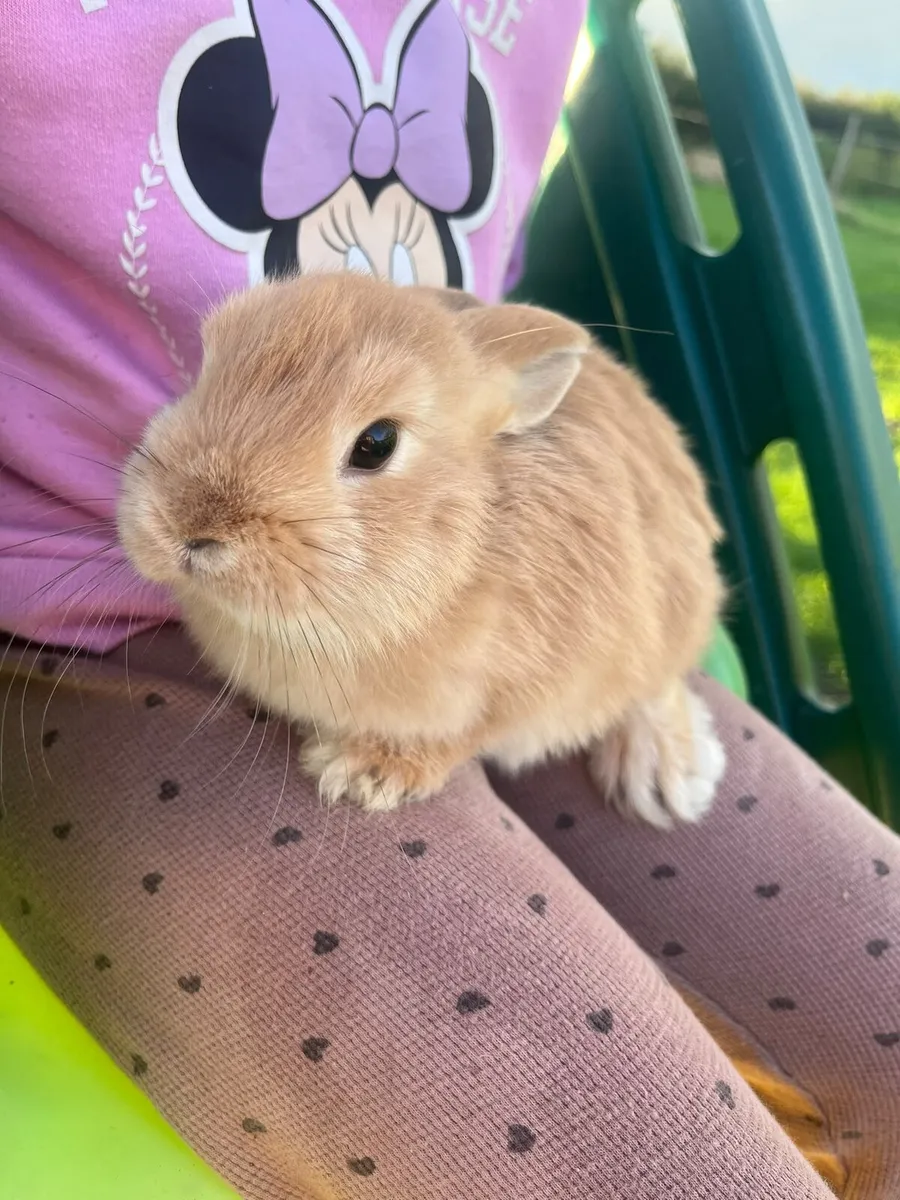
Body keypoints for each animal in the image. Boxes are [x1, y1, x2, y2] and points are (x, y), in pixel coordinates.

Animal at [118, 272, 726, 828]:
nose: (186, 528)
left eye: (377, 444)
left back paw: (669, 774)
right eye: (204, 373)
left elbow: (471, 733)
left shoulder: (537, 686)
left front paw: (363, 773)